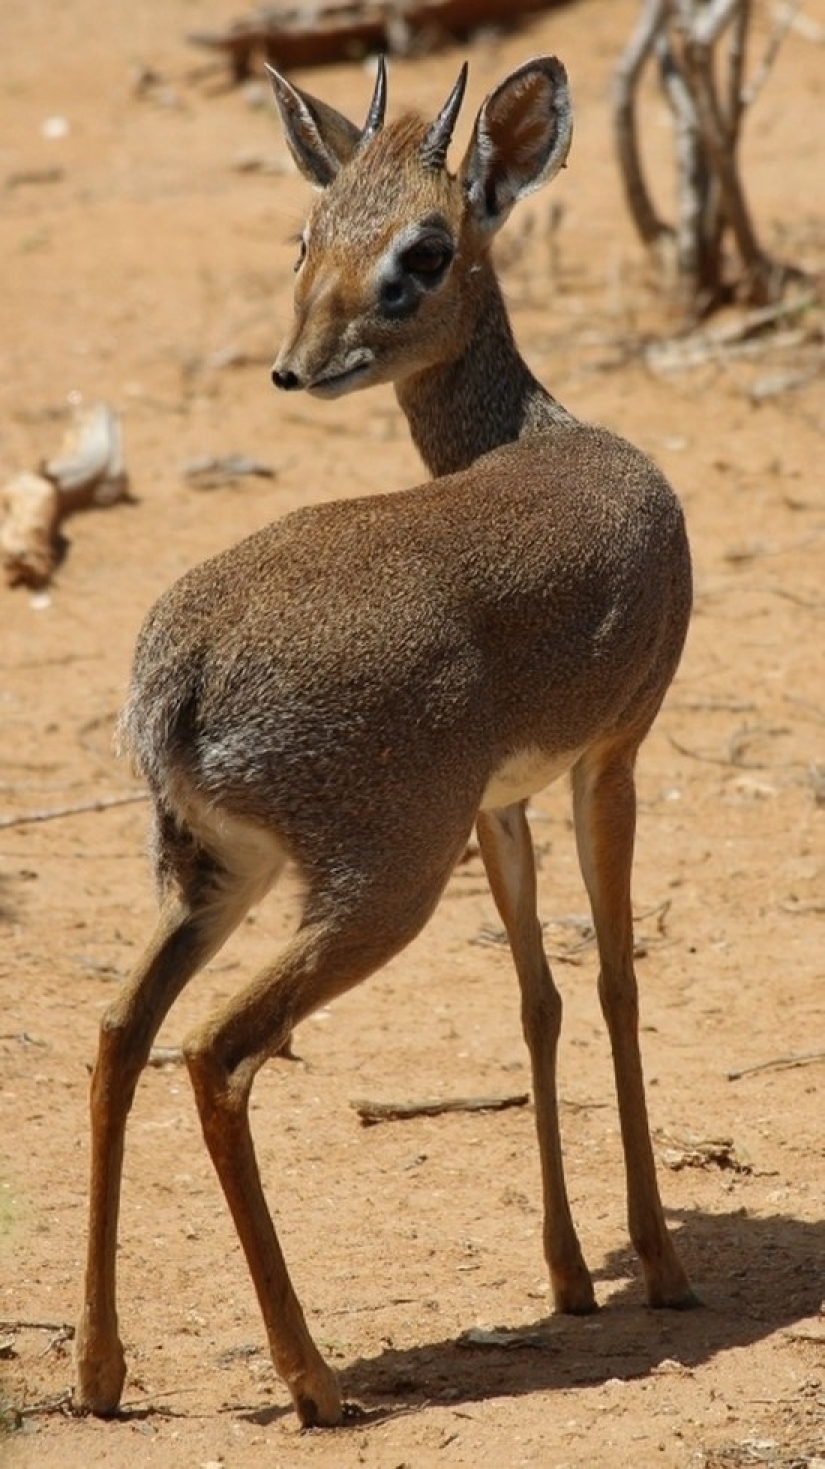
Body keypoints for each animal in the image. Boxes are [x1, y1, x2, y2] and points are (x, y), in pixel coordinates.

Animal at [75, 54, 692, 1421]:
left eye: (424, 245)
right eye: (307, 233)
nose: (298, 366)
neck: (540, 434)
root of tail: (180, 678)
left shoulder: (505, 799)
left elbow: (539, 996)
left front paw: (573, 1272)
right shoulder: (610, 756)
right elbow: (618, 982)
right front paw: (664, 1262)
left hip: (216, 872)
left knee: (119, 1032)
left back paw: (99, 1369)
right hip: (377, 883)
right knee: (215, 1051)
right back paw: (311, 1376)